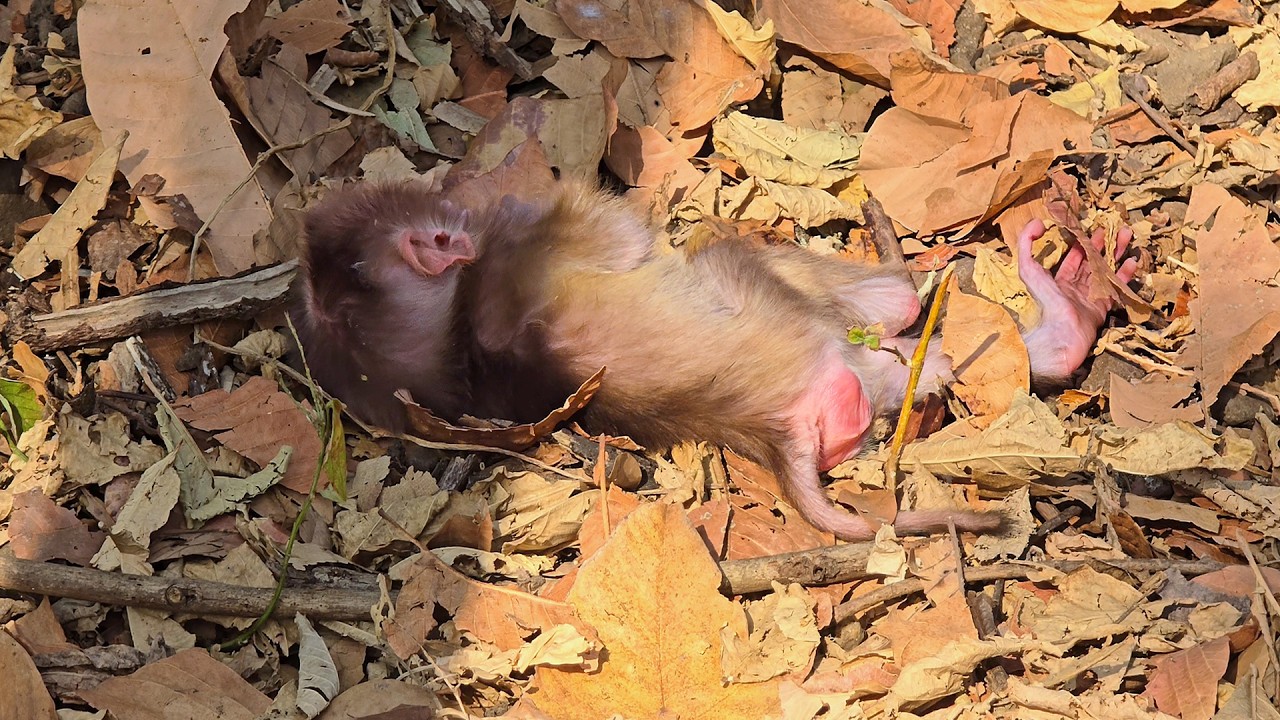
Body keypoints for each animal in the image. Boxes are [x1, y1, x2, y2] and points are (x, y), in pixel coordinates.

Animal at [294, 179, 1137, 541]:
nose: (458, 201)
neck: (450, 338)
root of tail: (768, 433)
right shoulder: (547, 245)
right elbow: (620, 236)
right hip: (788, 315)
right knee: (870, 308)